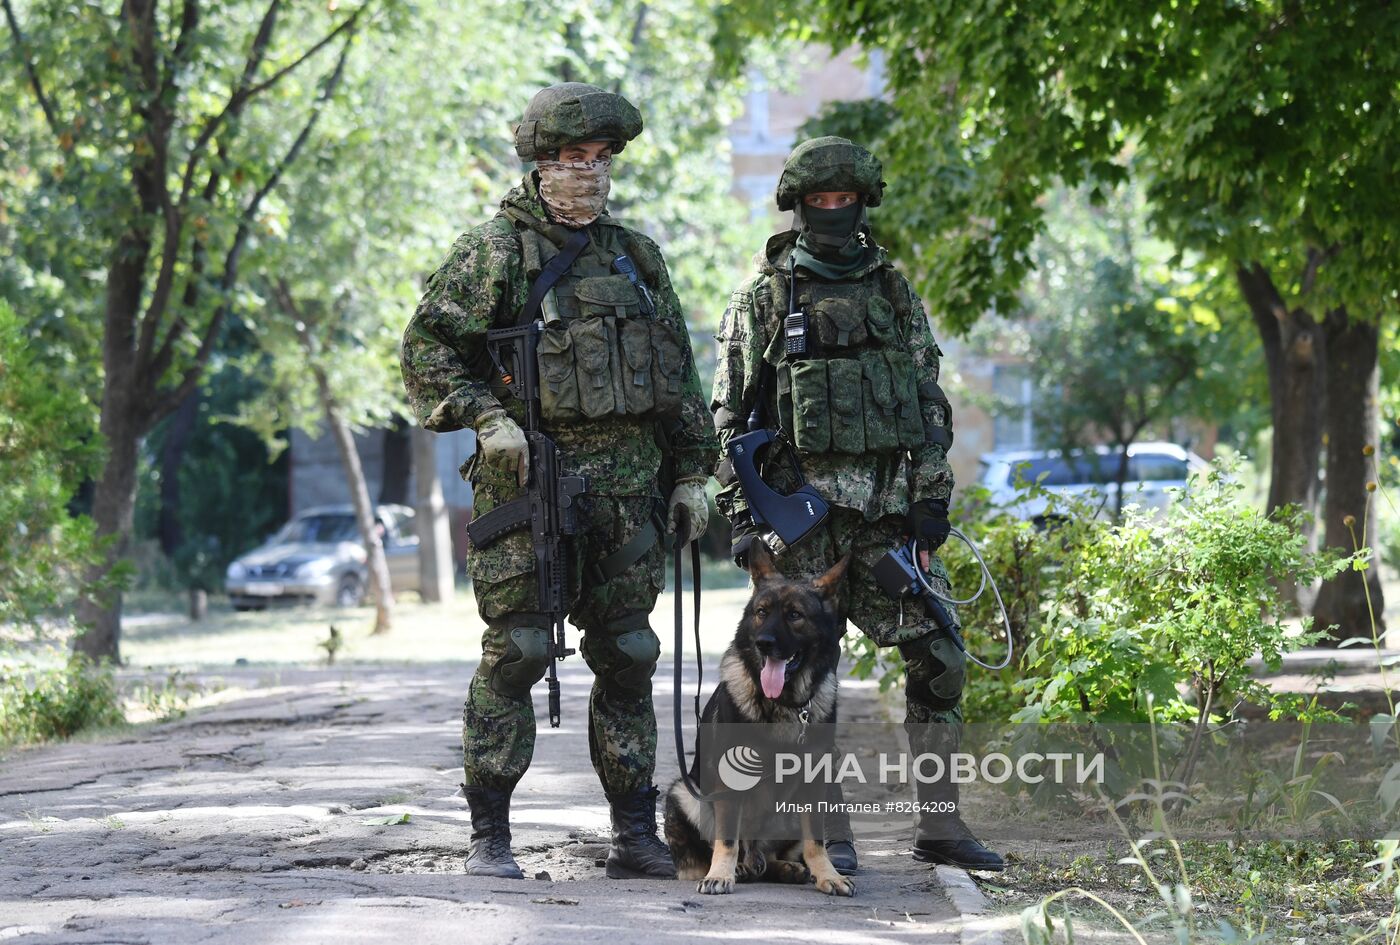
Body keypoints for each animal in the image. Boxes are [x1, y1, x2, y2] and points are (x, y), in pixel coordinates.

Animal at [663, 543, 856, 896]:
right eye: (762, 612)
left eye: (794, 615)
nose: (763, 643)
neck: (784, 702)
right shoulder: (728, 781)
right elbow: (726, 839)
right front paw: (720, 875)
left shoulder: (814, 781)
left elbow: (816, 841)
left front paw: (828, 875)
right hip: (684, 793)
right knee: (711, 855)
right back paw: (735, 868)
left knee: (770, 858)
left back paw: (786, 868)